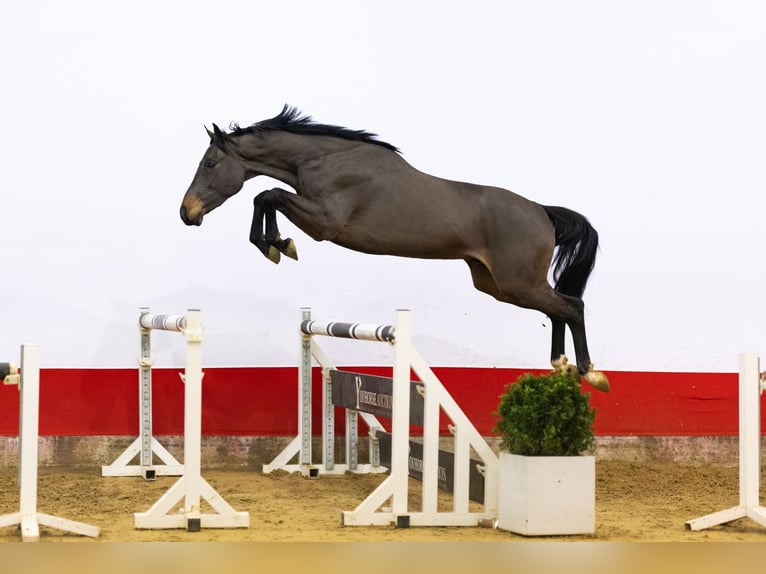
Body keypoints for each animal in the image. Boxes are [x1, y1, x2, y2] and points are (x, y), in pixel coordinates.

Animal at [180, 105, 609, 392]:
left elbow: (268, 195)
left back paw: (591, 372)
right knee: (558, 308)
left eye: (211, 163)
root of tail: (542, 212)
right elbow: (267, 197)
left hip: (516, 283)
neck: (325, 159)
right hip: (498, 285)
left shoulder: (325, 223)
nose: (187, 213)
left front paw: (277, 244)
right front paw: (276, 244)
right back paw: (561, 365)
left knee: (572, 305)